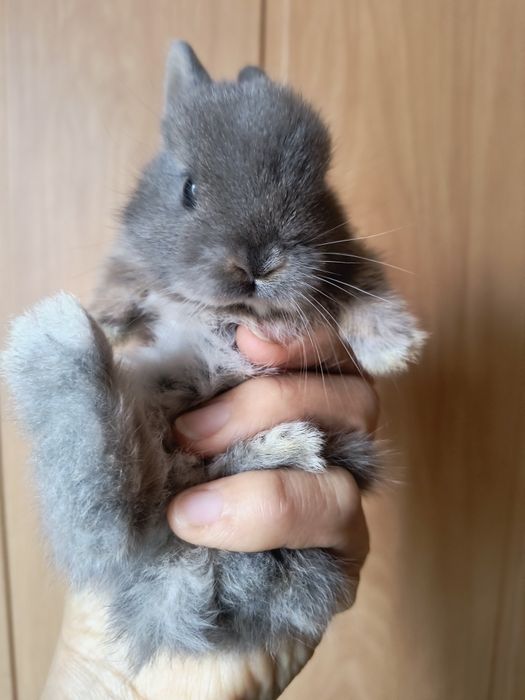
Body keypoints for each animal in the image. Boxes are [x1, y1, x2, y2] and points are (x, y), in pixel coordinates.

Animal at [1, 41, 425, 670]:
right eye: (190, 189)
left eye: (314, 190)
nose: (259, 262)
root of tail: (183, 575)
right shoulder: (135, 253)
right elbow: (125, 267)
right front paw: (109, 312)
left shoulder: (346, 256)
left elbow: (363, 284)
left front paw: (394, 345)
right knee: (108, 524)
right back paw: (60, 332)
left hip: (339, 455)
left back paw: (288, 446)